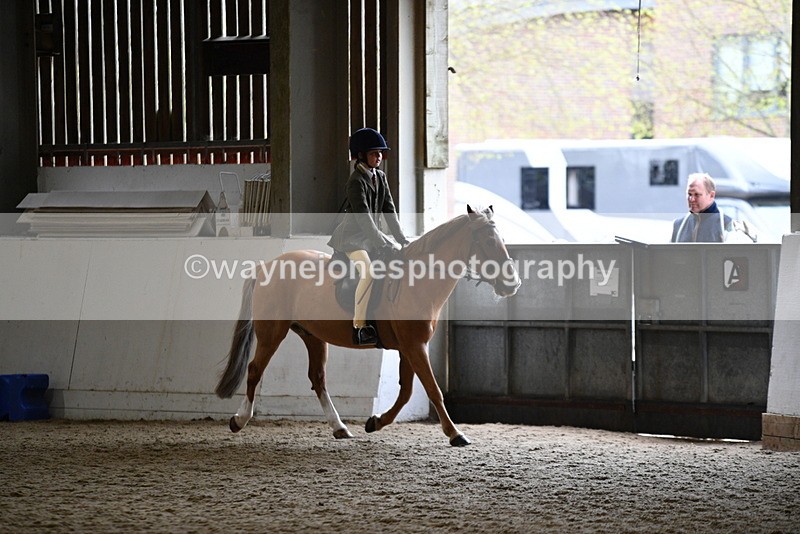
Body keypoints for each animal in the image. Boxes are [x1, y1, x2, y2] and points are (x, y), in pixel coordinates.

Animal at [215, 205, 521, 446]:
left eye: (502, 240)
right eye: (486, 242)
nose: (512, 284)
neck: (417, 282)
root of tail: (265, 267)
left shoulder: (409, 347)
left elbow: (407, 392)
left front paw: (375, 422)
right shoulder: (415, 346)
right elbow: (432, 389)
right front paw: (455, 433)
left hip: (312, 335)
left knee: (318, 378)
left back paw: (340, 428)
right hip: (272, 333)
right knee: (255, 370)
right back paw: (239, 420)